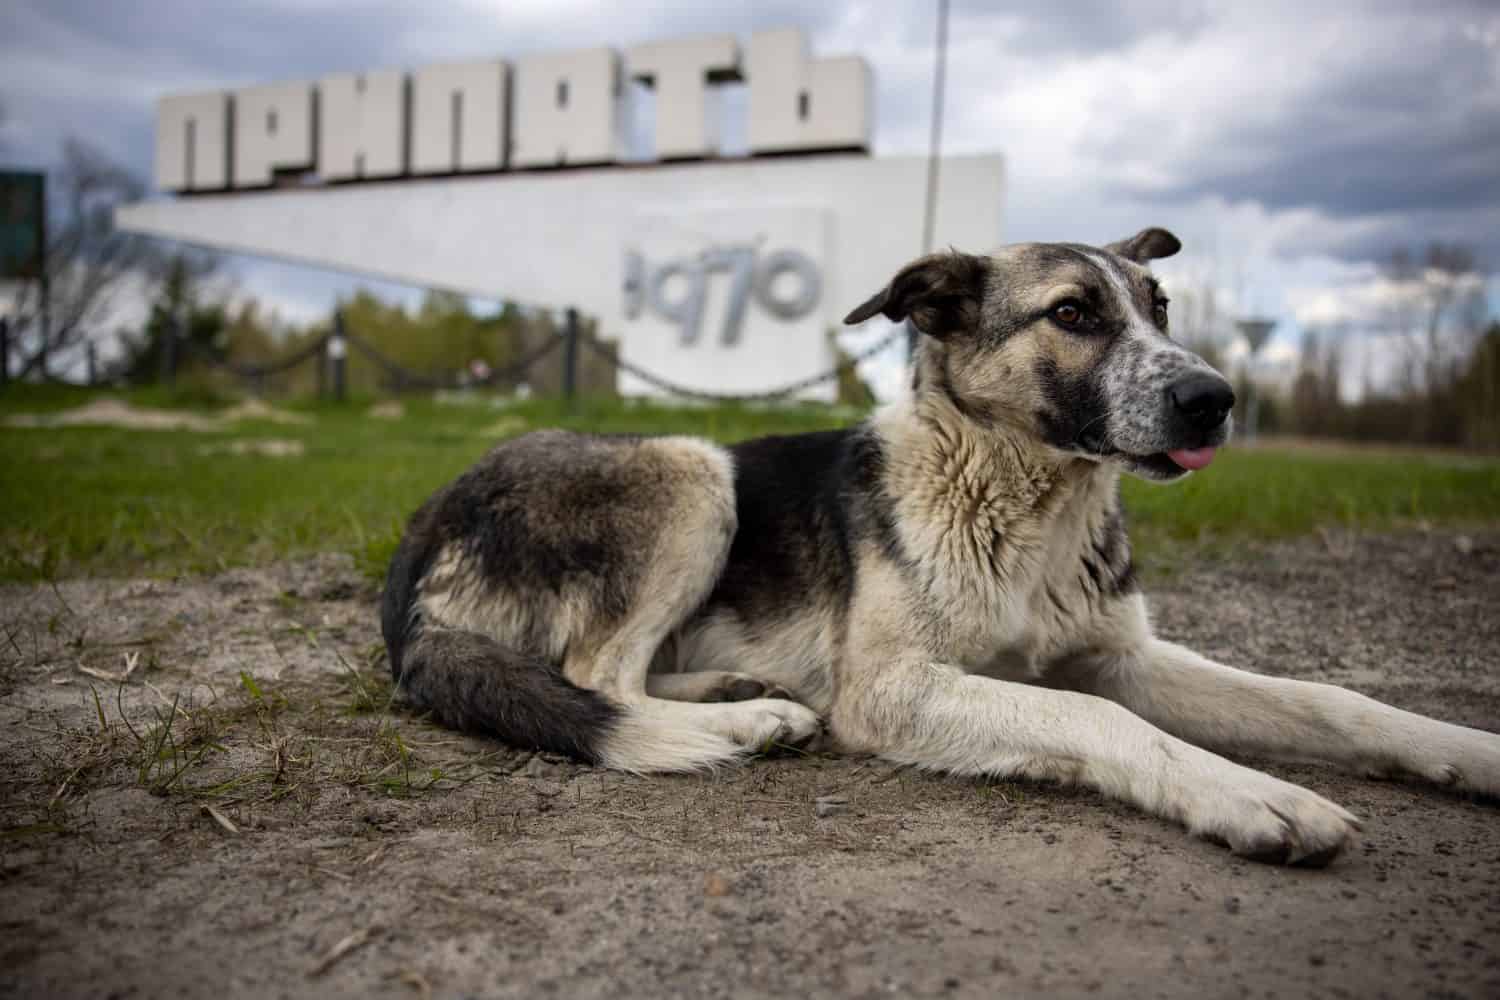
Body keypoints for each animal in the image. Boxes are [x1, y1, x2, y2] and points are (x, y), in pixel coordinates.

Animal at [384, 230, 1500, 863]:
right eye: (1073, 313)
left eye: (1160, 308)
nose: (1215, 399)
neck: (1033, 504)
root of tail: (420, 531)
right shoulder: (896, 688)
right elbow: (1094, 718)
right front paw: (1253, 793)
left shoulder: (1120, 655)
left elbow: (1328, 698)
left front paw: (1466, 750)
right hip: (696, 472)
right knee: (592, 673)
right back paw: (741, 723)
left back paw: (744, 694)